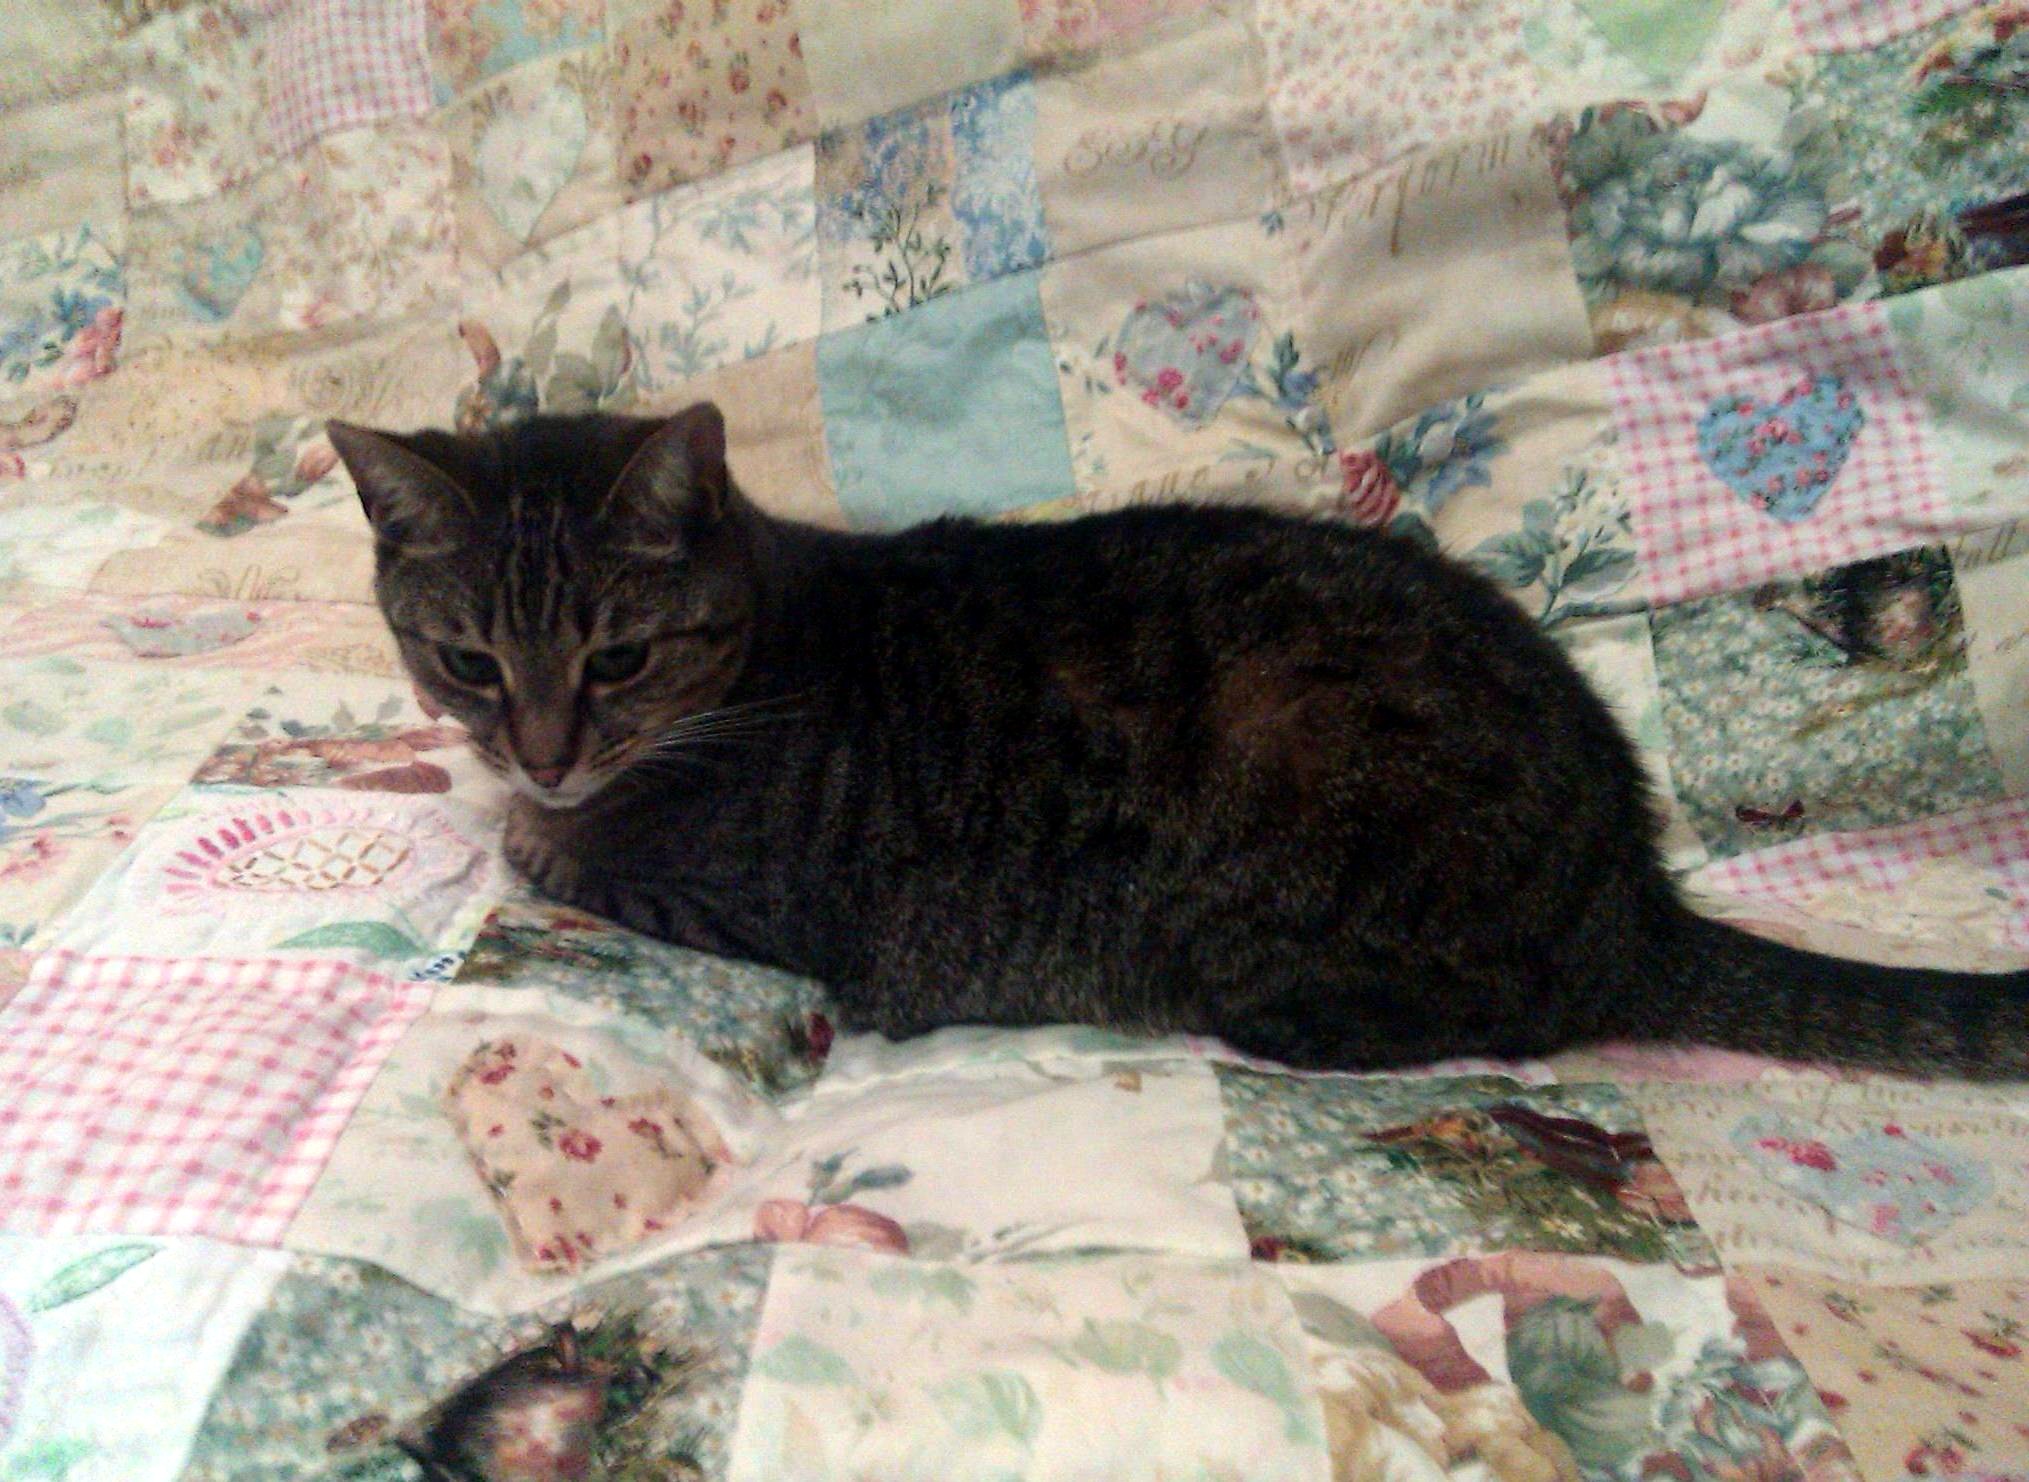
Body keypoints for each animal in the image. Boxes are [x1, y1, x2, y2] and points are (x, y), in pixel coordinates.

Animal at [332, 403, 2029, 1071]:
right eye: (468, 660)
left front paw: (529, 825)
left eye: (614, 658)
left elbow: (552, 858)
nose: (543, 748)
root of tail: (1631, 894)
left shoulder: (726, 900)